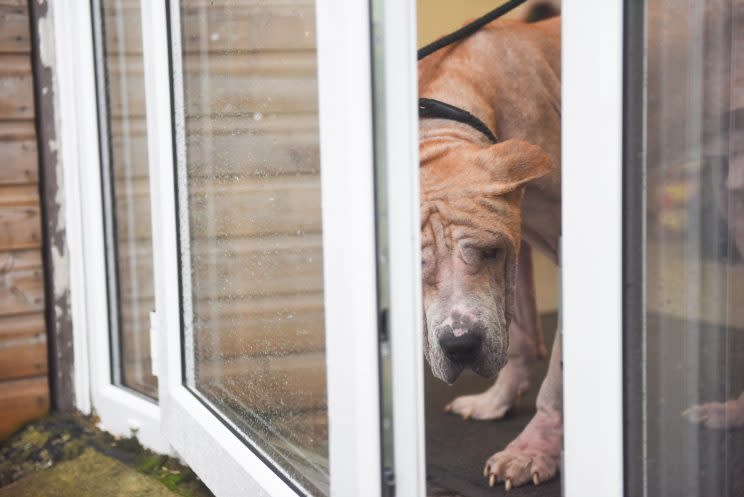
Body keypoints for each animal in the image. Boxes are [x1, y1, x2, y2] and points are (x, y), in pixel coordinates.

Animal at [422, 18, 560, 488]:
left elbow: (558, 379)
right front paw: (497, 401)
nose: (460, 345)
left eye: (488, 251)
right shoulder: (518, 248)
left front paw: (532, 450)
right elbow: (517, 336)